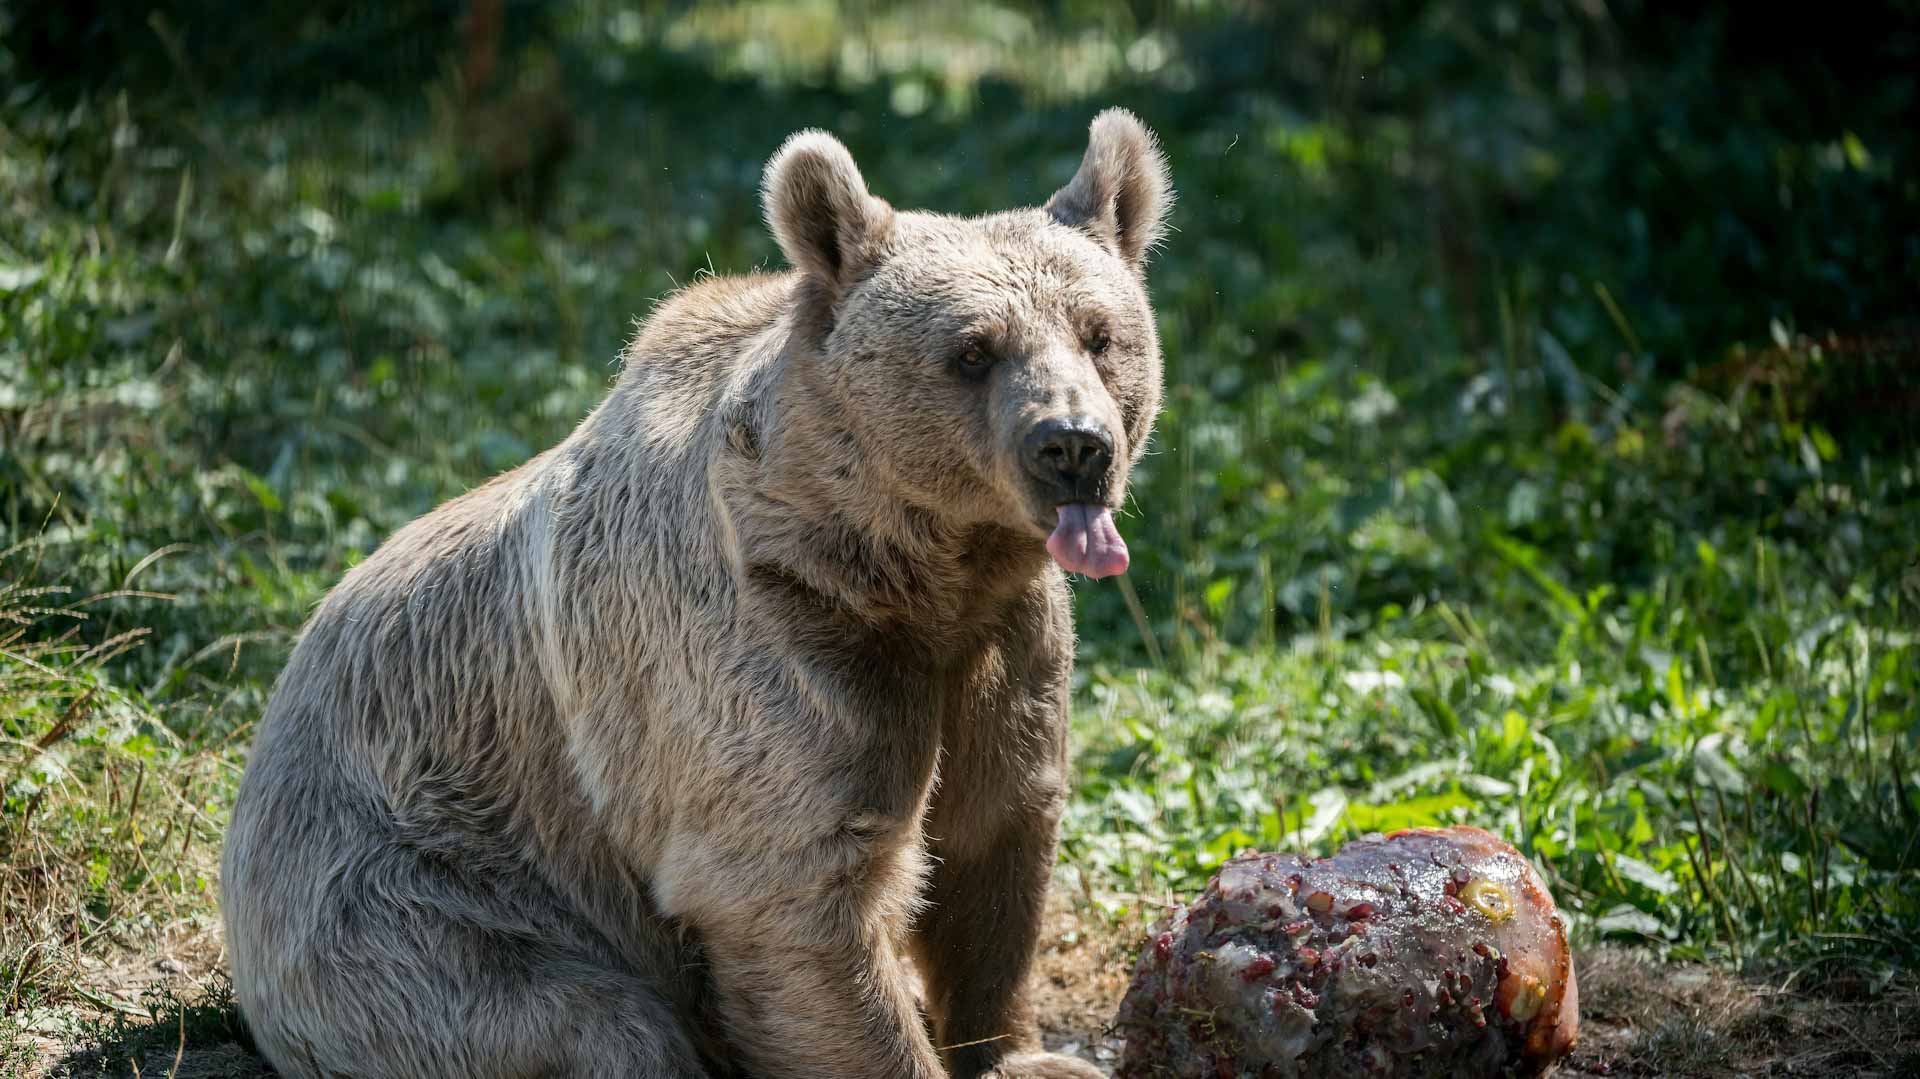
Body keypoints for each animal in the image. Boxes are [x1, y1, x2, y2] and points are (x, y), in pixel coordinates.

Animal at [214, 102, 1167, 1075]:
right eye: (973, 351)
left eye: (1100, 333)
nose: (1073, 445)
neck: (916, 567)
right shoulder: (777, 651)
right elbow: (793, 890)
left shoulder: (1002, 644)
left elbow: (994, 842)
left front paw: (1023, 1050)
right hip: (407, 892)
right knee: (585, 1019)